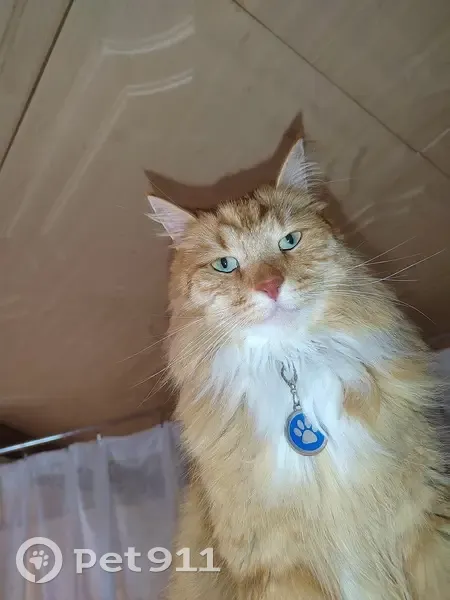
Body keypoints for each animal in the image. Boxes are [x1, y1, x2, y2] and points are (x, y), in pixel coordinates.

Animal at [148, 139, 449, 599]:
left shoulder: (425, 522)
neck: (295, 369)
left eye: (289, 241)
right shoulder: (281, 568)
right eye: (225, 265)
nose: (270, 287)